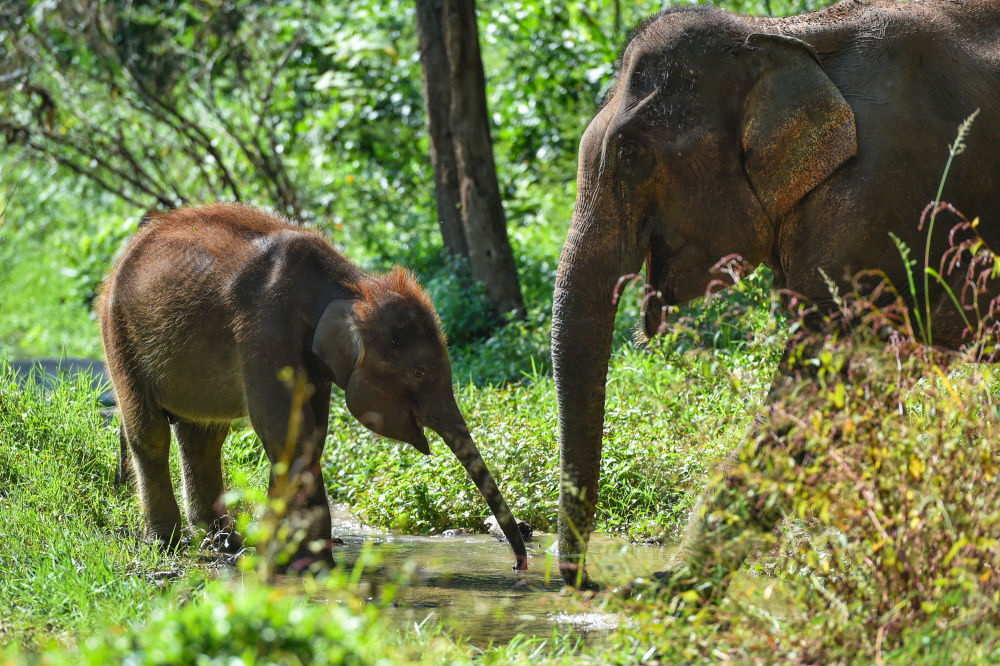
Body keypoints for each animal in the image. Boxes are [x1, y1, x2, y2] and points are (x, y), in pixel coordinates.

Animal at [97, 200, 528, 568]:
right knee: (150, 432)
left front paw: (296, 557)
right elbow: (286, 429)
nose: (517, 564)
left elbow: (312, 434)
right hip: (118, 333)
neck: (351, 283)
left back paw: (224, 544)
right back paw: (168, 545)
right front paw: (303, 563)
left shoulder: (315, 365)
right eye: (419, 372)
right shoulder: (263, 330)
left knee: (203, 436)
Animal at [552, 0, 1000, 588]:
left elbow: (817, 390)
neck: (781, 35)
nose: (588, 581)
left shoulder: (879, 204)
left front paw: (667, 590)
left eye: (631, 153)